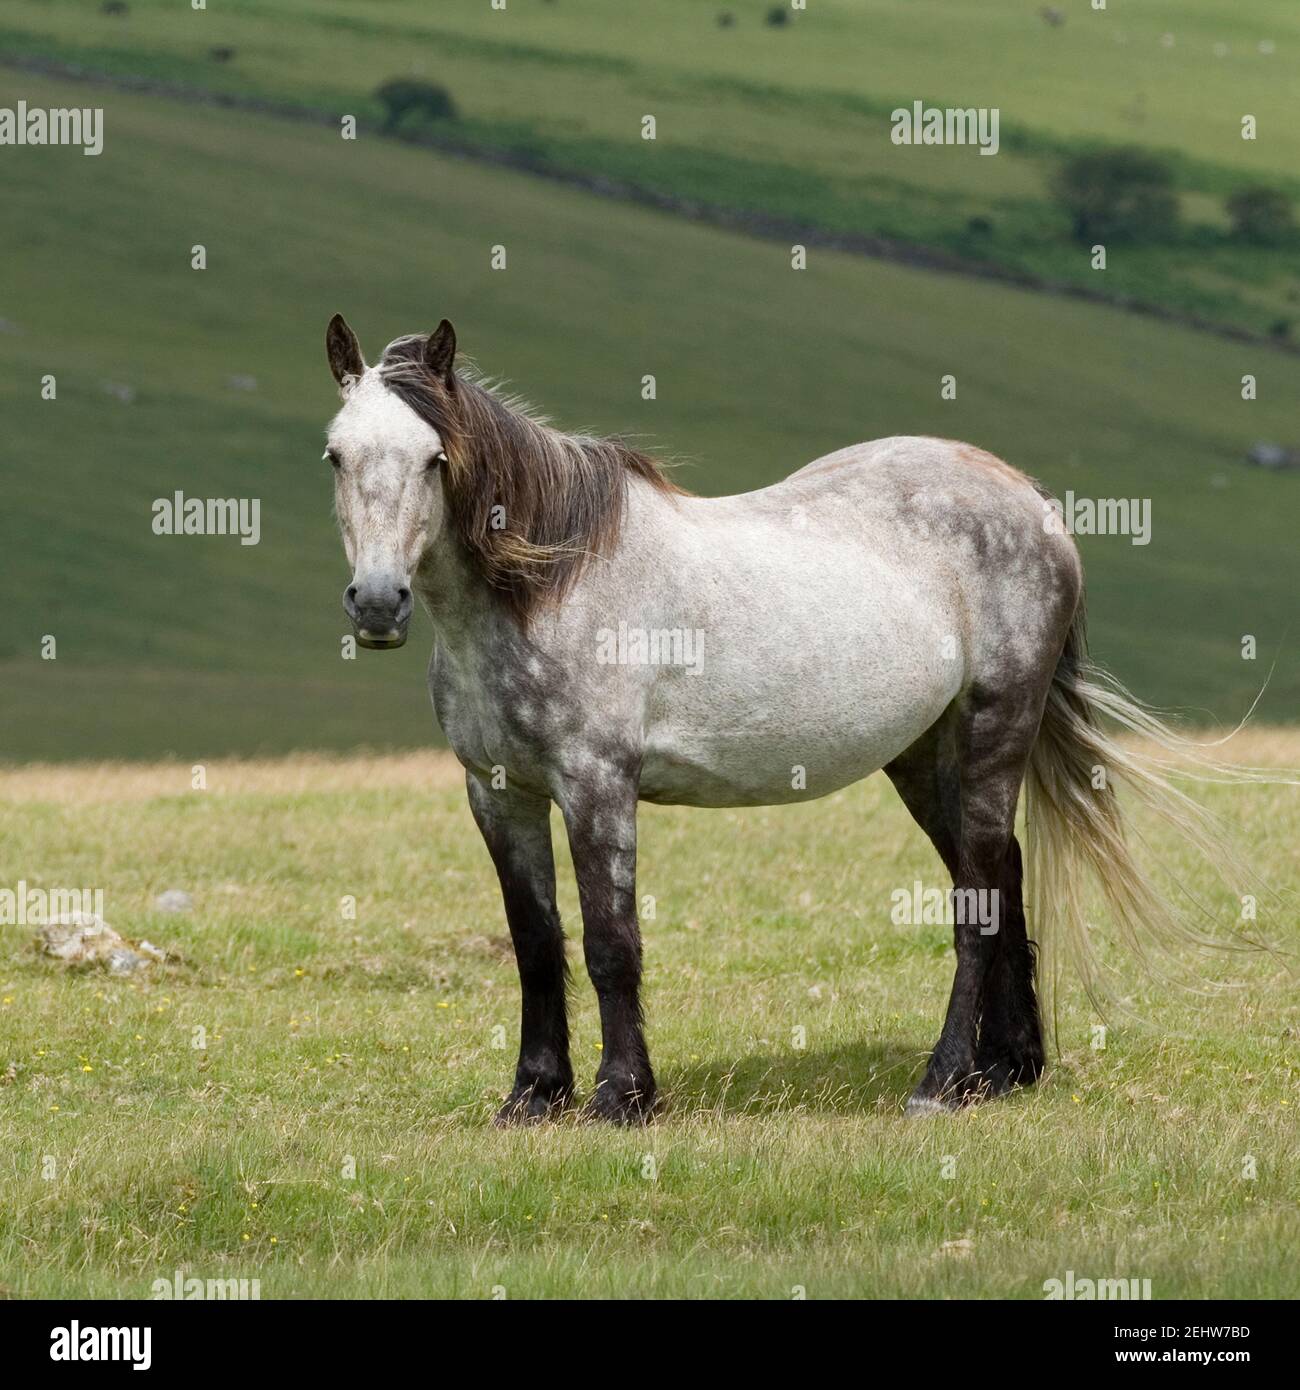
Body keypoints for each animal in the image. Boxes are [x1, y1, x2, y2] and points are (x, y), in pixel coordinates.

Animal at [322, 312, 1262, 1117]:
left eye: (434, 458)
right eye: (336, 455)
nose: (378, 603)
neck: (549, 582)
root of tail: (1028, 499)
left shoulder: (596, 787)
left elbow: (610, 943)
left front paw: (622, 1097)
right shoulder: (498, 792)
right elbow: (536, 943)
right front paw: (533, 1095)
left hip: (995, 731)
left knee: (976, 904)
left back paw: (941, 1082)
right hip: (926, 757)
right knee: (1000, 879)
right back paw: (1003, 1073)